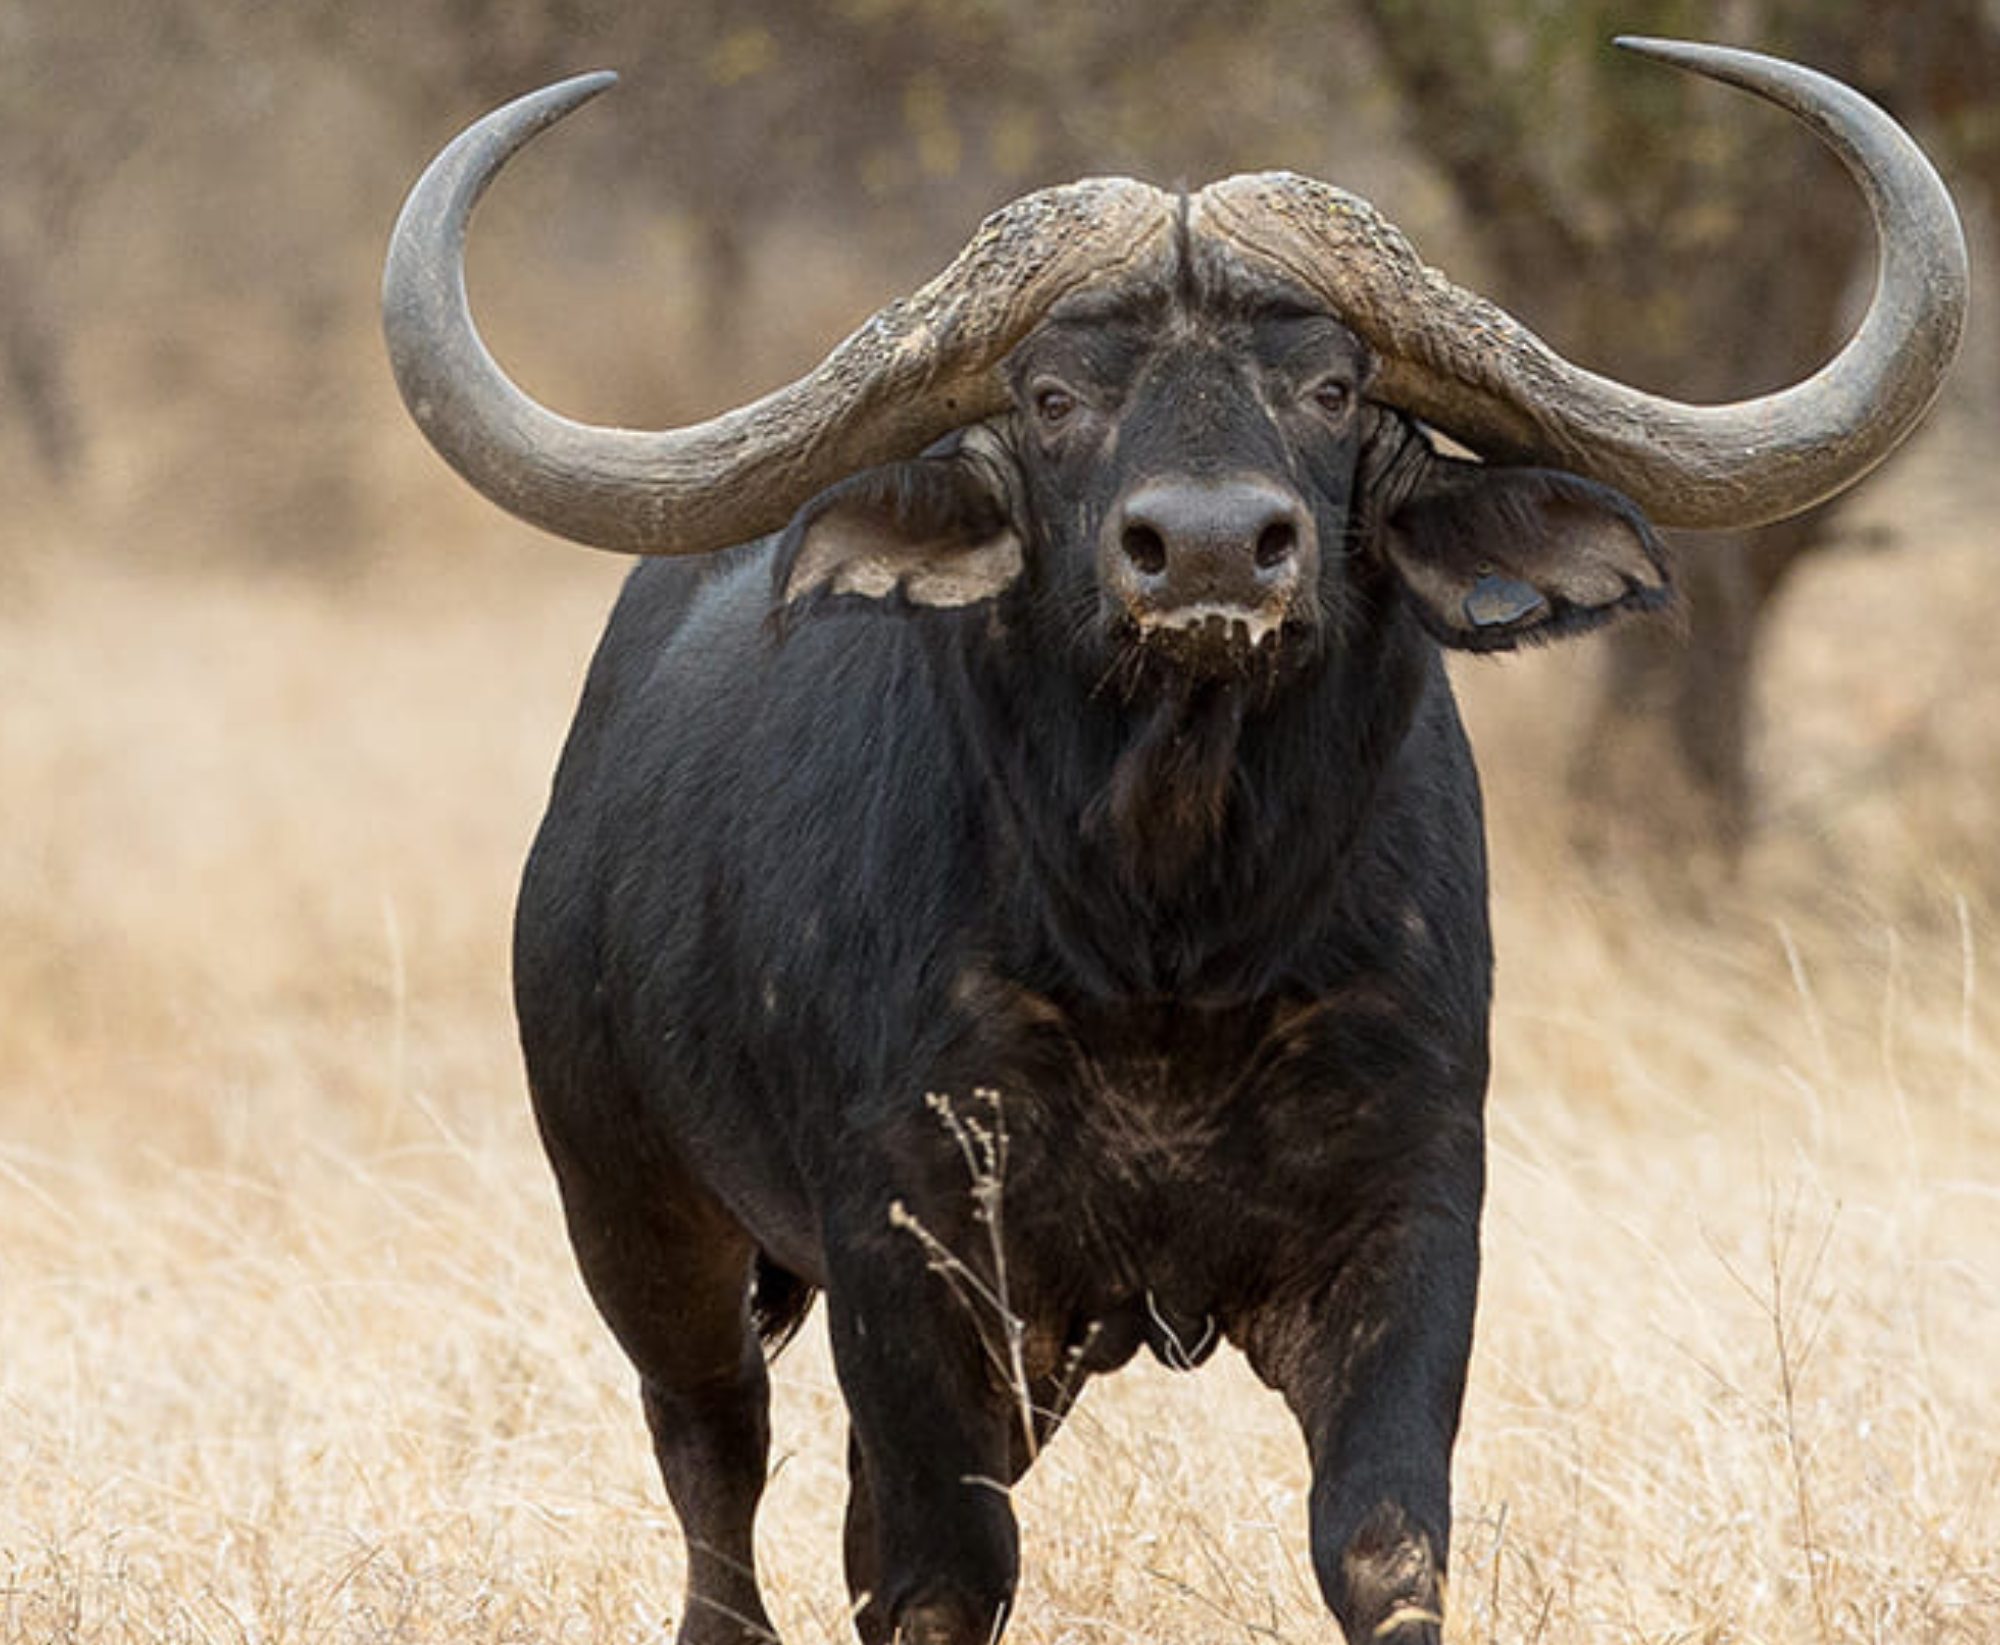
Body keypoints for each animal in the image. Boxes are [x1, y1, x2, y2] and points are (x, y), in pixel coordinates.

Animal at [383, 39, 1965, 1645]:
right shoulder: (908, 1252)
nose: (1209, 550)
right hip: (637, 1221)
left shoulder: (1408, 1220)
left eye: (1330, 386)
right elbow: (946, 1571)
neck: (1170, 939)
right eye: (1052, 395)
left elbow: (1382, 1540)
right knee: (717, 1468)